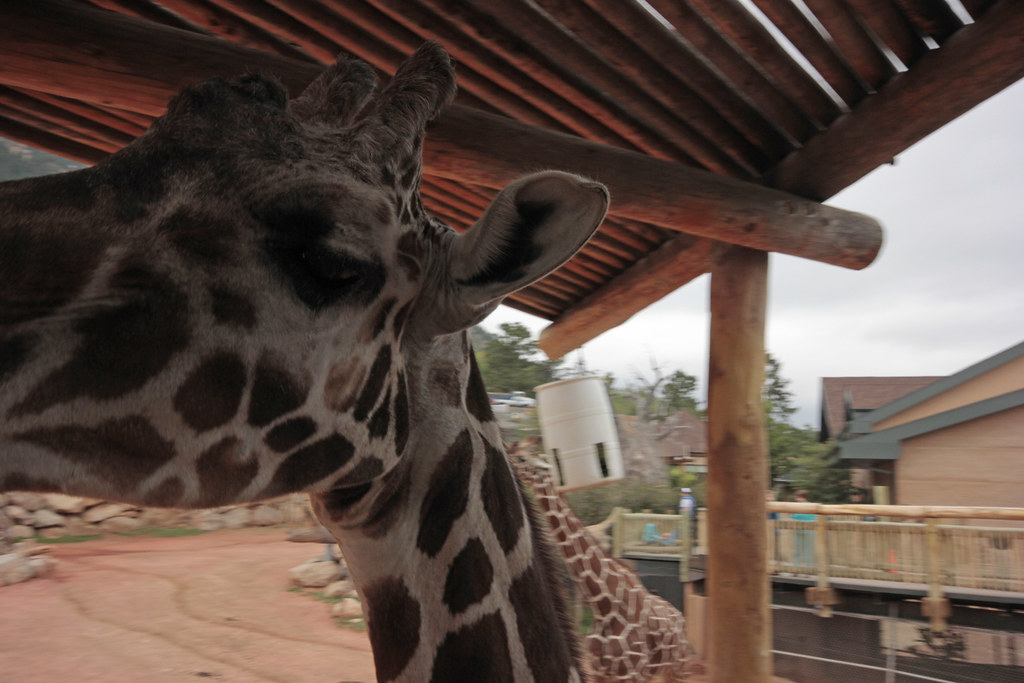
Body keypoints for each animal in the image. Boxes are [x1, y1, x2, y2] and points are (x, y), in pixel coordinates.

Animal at [508, 439, 688, 682]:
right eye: (512, 450)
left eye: (522, 458)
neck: (604, 603)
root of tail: (679, 616)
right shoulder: (599, 671)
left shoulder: (630, 673)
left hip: (677, 667)